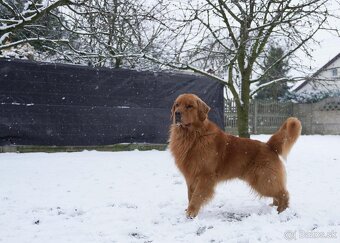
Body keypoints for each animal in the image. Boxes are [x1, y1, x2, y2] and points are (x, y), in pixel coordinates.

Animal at [169, 93, 302, 218]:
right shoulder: (191, 177)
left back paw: (281, 210)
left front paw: (191, 212)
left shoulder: (205, 176)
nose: (177, 113)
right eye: (176, 105)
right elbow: (190, 195)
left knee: (284, 193)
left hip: (264, 180)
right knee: (278, 194)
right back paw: (274, 206)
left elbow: (197, 196)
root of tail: (269, 145)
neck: (194, 135)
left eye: (189, 106)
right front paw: (189, 209)